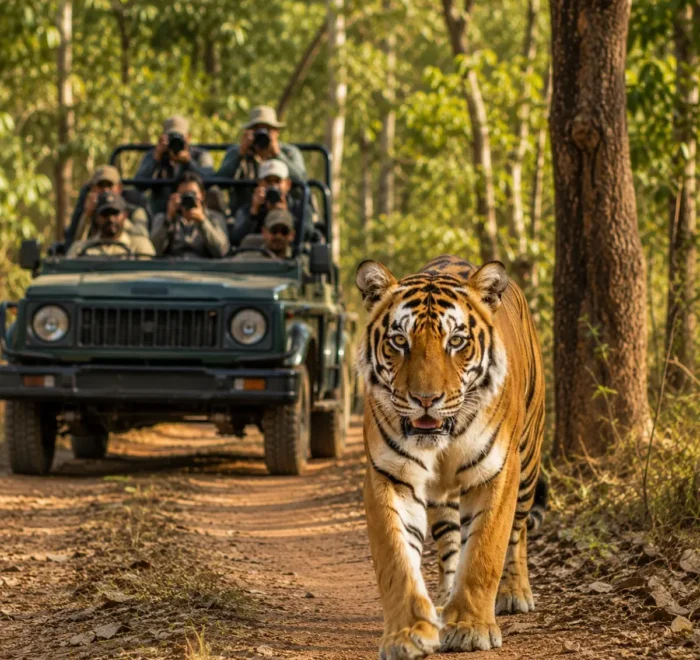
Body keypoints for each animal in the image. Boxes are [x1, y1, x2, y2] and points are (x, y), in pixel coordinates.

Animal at [355, 254, 546, 658]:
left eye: (456, 341)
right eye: (400, 341)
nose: (426, 399)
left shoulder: (498, 472)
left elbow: (486, 550)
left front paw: (471, 627)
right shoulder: (390, 475)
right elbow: (397, 558)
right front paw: (407, 633)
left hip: (528, 463)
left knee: (518, 531)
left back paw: (514, 593)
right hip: (442, 499)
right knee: (450, 545)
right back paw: (443, 603)